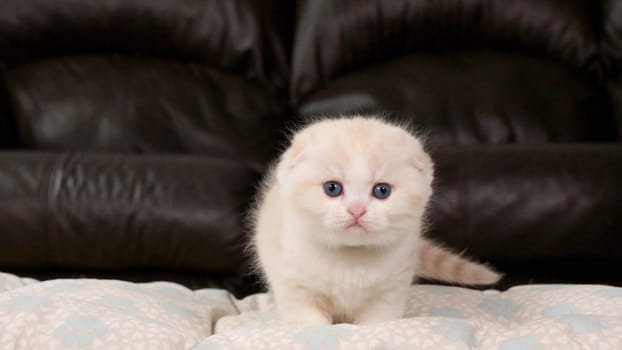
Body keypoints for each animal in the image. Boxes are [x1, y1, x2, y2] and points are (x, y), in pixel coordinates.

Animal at [249, 116, 502, 326]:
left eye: (382, 191)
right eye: (332, 188)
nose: (357, 210)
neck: (350, 261)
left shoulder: (391, 290)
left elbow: (378, 324)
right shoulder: (294, 285)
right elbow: (308, 321)